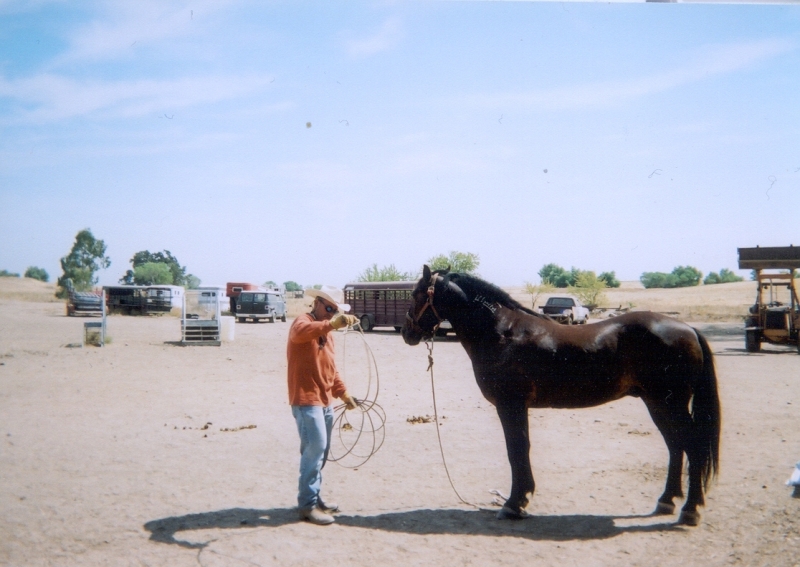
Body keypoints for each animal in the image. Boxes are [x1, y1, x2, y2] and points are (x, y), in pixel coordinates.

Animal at [401, 266, 720, 526]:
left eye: (416, 294)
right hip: (657, 403)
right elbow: (520, 449)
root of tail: (689, 329)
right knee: (675, 446)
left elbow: (517, 449)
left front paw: (514, 504)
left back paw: (690, 510)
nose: (407, 332)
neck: (502, 333)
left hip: (671, 403)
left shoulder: (511, 405)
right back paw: (667, 501)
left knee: (693, 447)